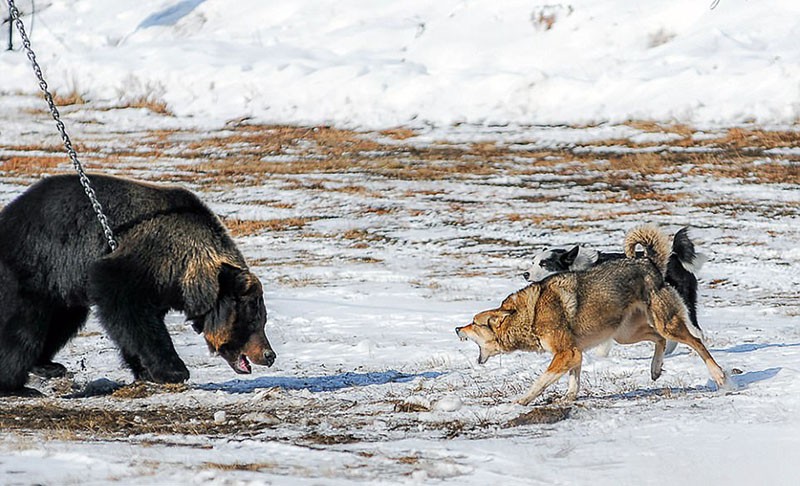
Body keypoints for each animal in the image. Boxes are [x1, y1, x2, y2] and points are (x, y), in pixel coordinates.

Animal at [456, 226, 724, 404]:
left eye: (474, 323)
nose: (457, 329)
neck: (531, 313)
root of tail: (650, 262)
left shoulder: (566, 353)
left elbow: (541, 381)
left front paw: (519, 402)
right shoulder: (575, 353)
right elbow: (574, 380)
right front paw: (568, 398)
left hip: (665, 323)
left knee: (696, 342)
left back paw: (720, 377)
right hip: (626, 334)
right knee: (659, 339)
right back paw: (655, 369)